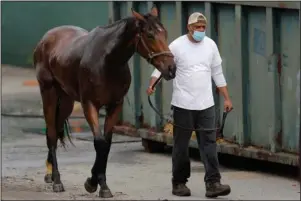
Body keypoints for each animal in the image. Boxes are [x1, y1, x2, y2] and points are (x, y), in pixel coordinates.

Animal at [33, 5, 176, 198]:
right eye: (149, 35)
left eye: (165, 33)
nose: (171, 68)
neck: (107, 60)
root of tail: (46, 38)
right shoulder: (89, 105)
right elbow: (99, 143)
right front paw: (92, 183)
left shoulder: (115, 105)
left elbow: (106, 145)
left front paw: (101, 184)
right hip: (49, 93)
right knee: (52, 134)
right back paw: (56, 180)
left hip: (66, 102)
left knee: (56, 128)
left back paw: (49, 174)